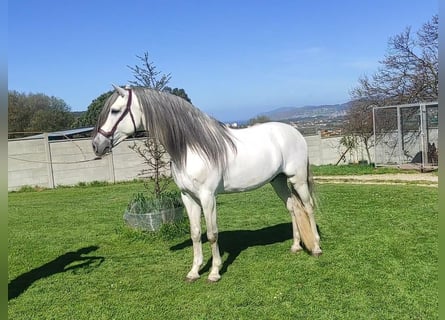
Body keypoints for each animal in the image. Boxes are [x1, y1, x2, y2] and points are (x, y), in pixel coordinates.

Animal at [92, 85, 320, 282]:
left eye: (115, 110)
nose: (96, 145)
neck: (192, 148)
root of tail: (294, 132)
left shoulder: (208, 196)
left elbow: (211, 234)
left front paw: (214, 272)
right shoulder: (188, 197)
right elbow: (195, 234)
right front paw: (194, 271)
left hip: (298, 179)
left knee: (308, 208)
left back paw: (316, 247)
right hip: (278, 181)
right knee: (292, 207)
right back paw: (296, 246)